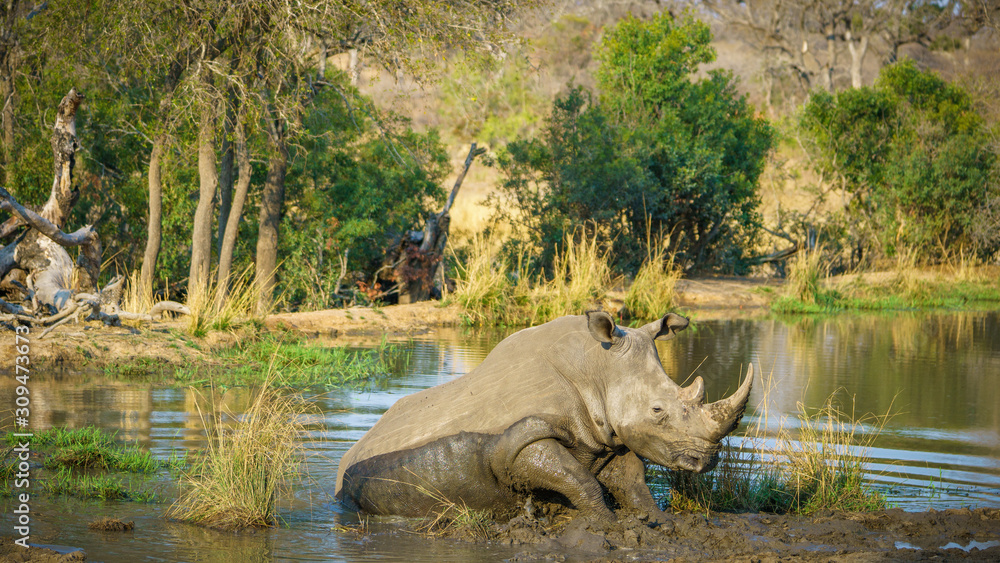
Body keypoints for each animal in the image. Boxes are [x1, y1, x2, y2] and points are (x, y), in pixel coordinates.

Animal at [335, 311, 753, 527]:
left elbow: (633, 481)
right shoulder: (521, 440)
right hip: (357, 477)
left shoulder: (609, 438)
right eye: (657, 410)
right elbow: (580, 480)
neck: (597, 368)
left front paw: (658, 523)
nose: (707, 460)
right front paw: (606, 524)